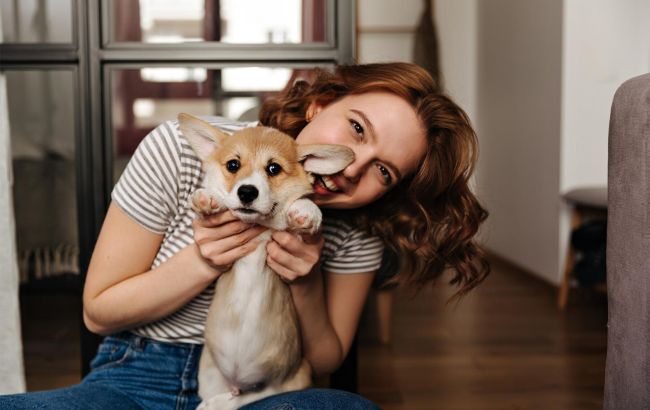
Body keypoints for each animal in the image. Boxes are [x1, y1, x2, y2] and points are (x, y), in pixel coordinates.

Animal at [175, 113, 352, 410]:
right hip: (209, 376)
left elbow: (301, 209)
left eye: (273, 169)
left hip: (294, 379)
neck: (259, 227)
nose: (247, 192)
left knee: (248, 398)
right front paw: (208, 197)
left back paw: (218, 404)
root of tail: (237, 383)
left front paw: (306, 211)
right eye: (233, 165)